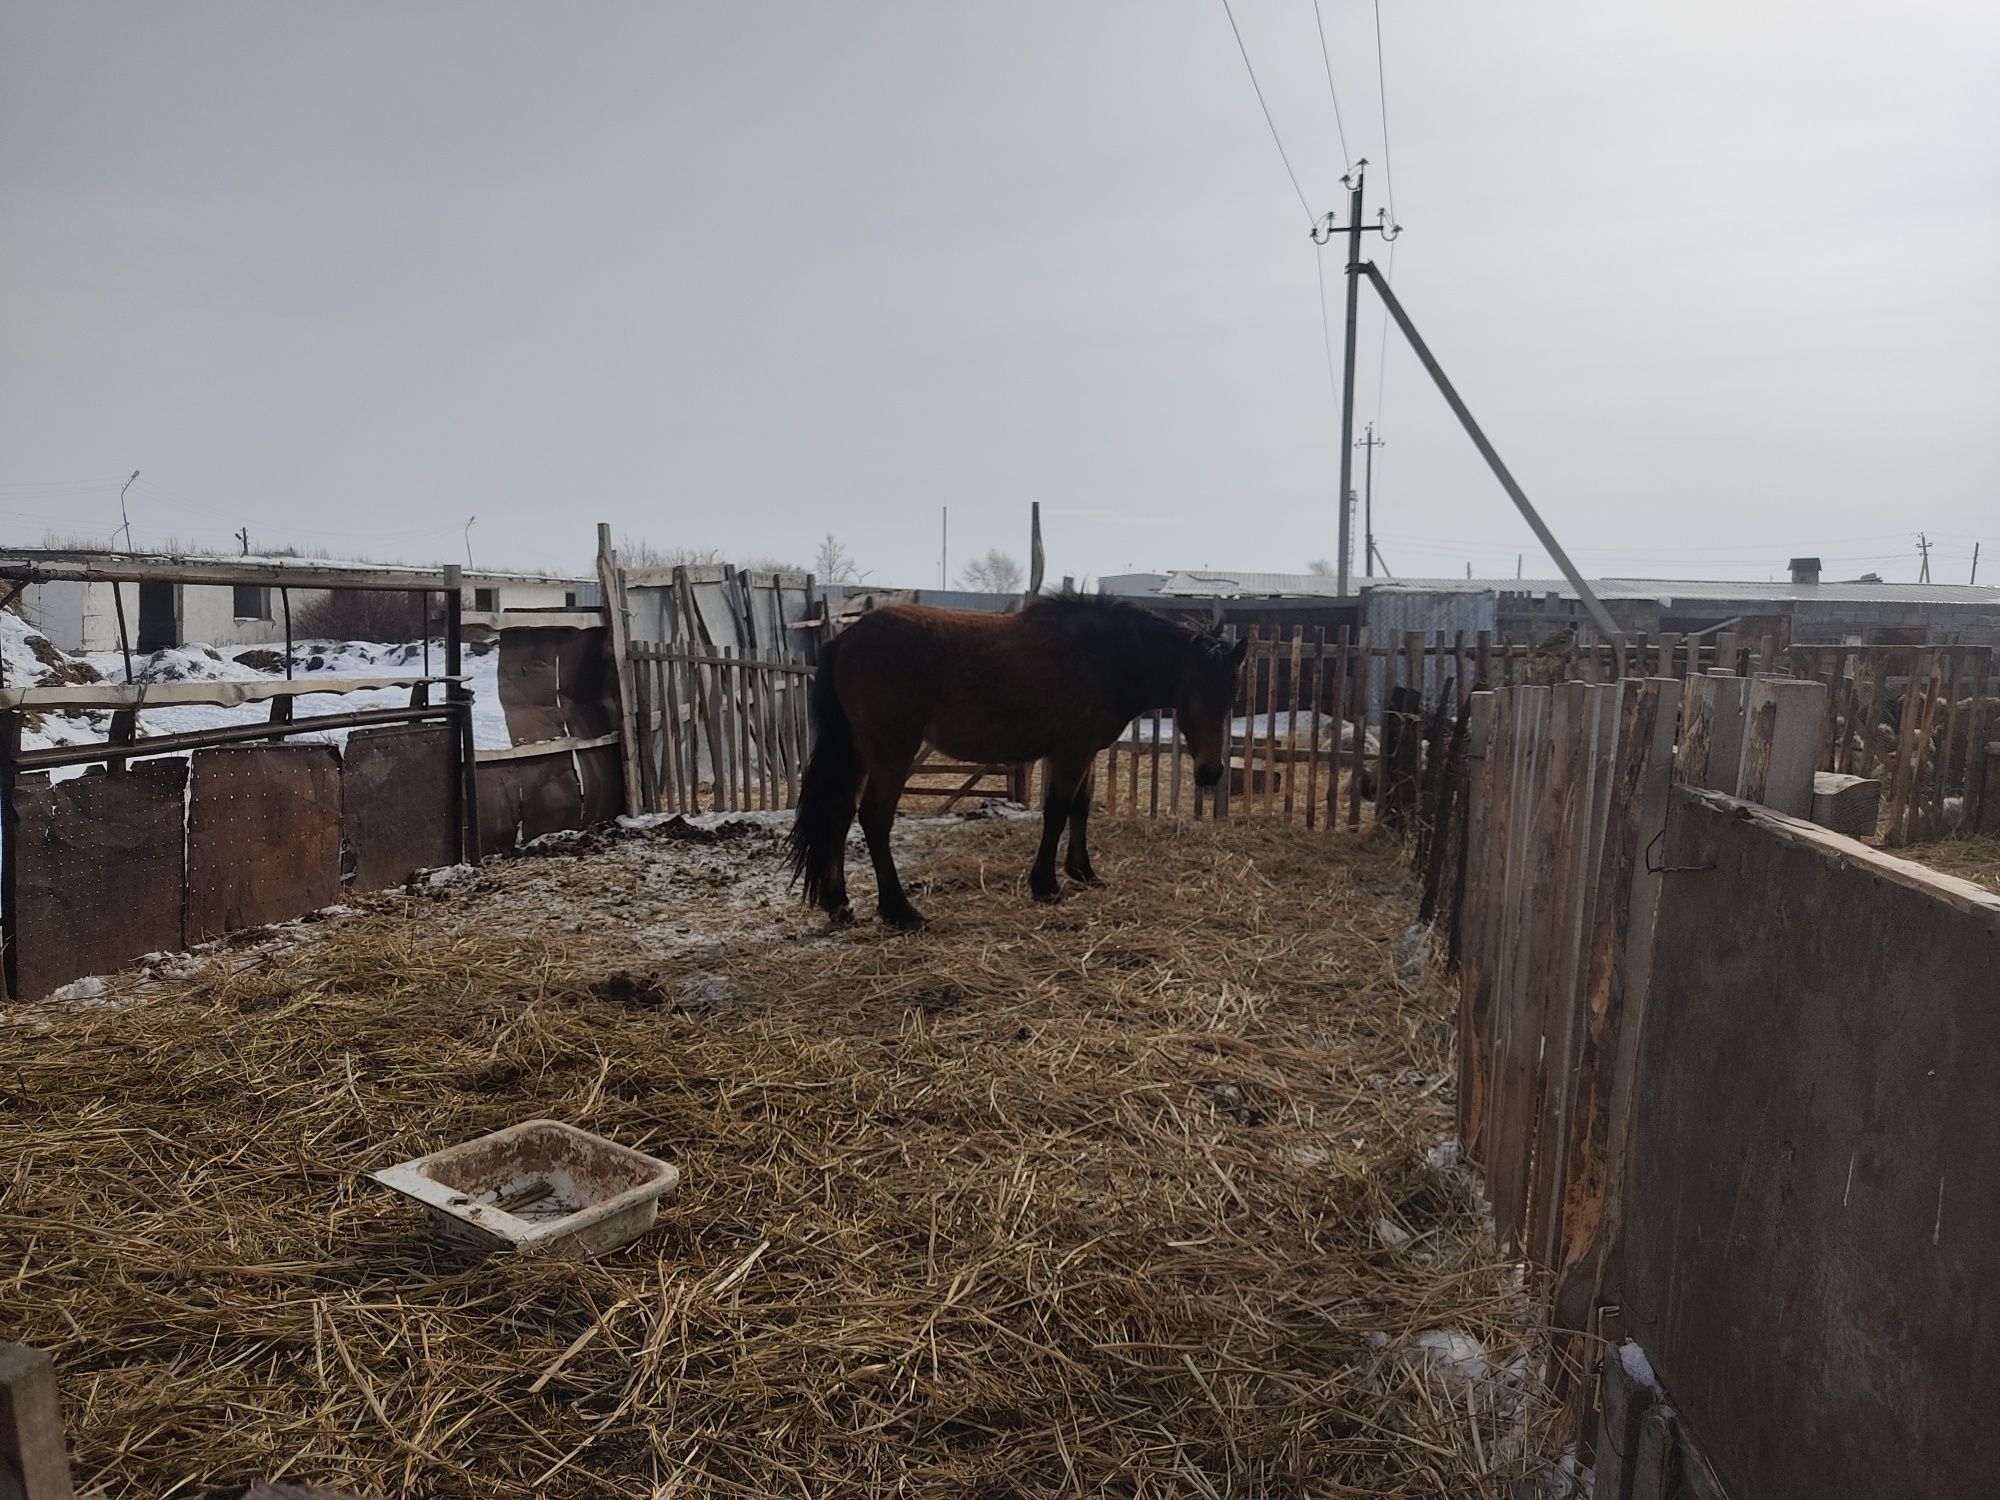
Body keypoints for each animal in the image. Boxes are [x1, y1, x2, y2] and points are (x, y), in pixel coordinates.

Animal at [784, 596, 1240, 928]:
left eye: (1232, 697)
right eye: (1194, 692)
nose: (1211, 771)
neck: (1105, 657)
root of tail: (846, 639)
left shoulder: (1083, 752)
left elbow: (1080, 809)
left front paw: (1083, 872)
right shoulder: (1071, 752)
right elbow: (1057, 812)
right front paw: (1046, 885)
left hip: (860, 752)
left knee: (840, 814)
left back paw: (839, 904)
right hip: (891, 751)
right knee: (874, 818)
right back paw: (901, 911)